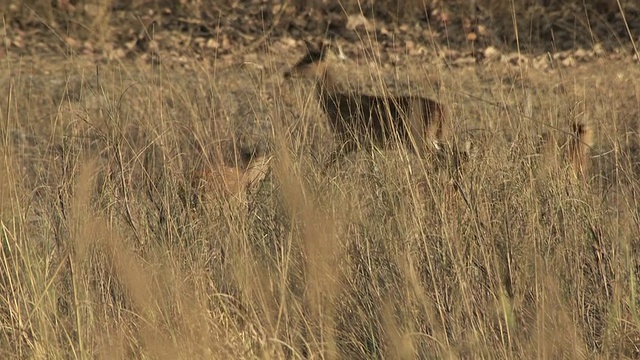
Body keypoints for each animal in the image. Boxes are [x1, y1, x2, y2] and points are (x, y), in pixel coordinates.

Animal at [284, 40, 450, 166]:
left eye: (308, 61)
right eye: (303, 56)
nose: (286, 73)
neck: (334, 101)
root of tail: (442, 109)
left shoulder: (349, 138)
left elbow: (327, 164)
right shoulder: (367, 144)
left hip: (418, 137)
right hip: (429, 138)